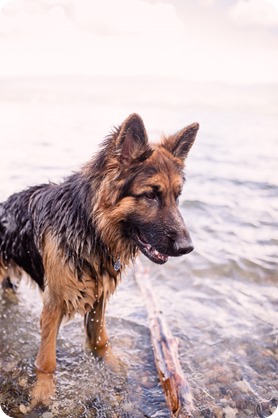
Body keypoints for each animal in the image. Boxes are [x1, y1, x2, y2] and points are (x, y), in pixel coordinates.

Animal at [0, 114, 200, 376]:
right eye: (150, 195)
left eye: (177, 197)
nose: (187, 247)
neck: (92, 228)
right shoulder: (54, 305)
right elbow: (47, 362)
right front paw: (44, 387)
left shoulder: (99, 299)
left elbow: (101, 341)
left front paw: (115, 366)